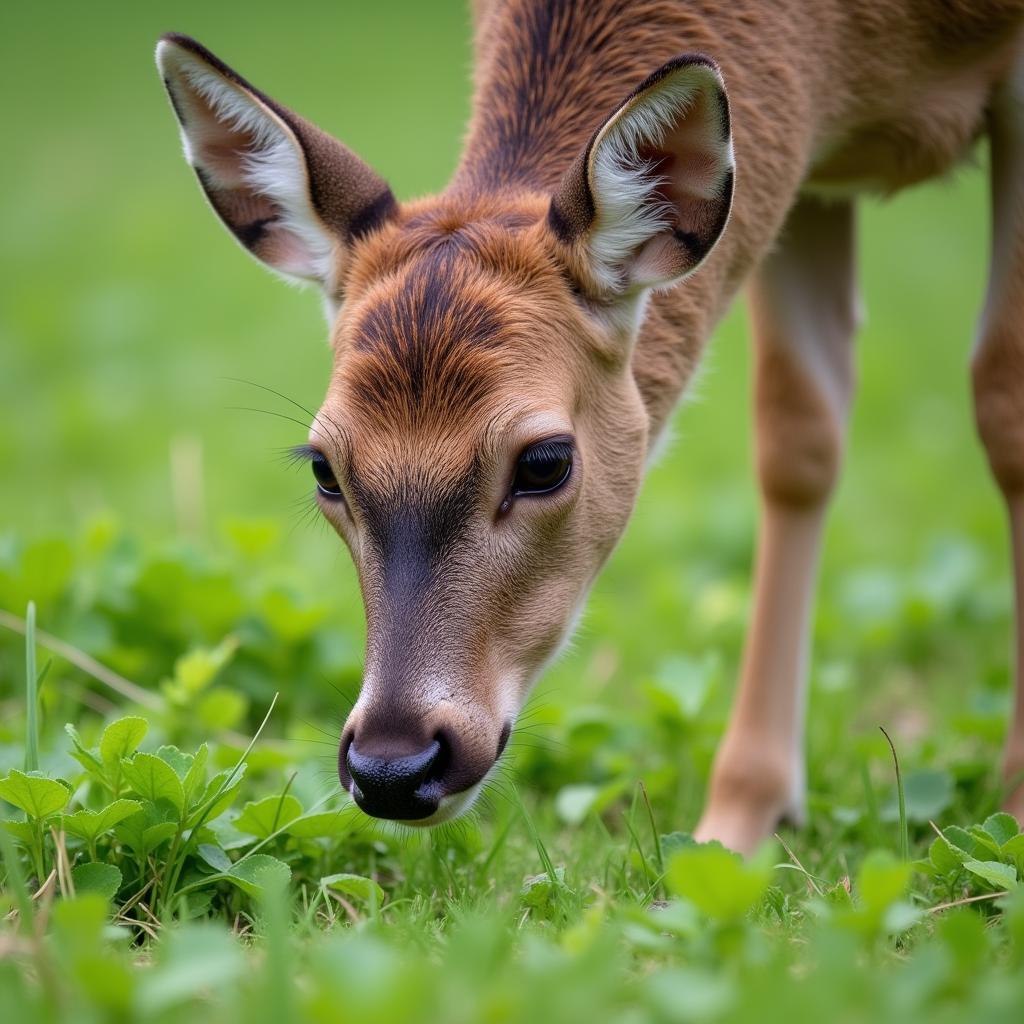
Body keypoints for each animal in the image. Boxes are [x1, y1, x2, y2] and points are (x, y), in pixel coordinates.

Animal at [155, 0, 1024, 851]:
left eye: (544, 462)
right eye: (324, 466)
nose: (394, 767)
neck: (856, 56)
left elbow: (1002, 399)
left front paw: (1011, 813)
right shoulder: (804, 165)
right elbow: (797, 428)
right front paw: (738, 822)